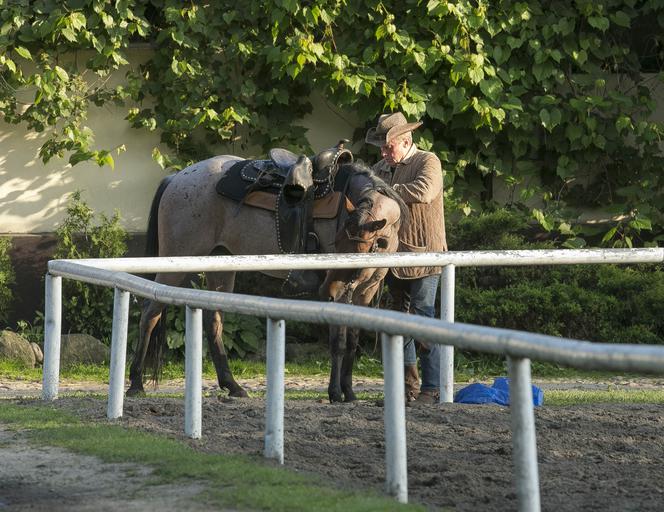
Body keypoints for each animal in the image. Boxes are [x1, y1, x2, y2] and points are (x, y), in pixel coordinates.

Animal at [127, 153, 408, 404]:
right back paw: (136, 383)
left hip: (221, 266)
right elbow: (338, 341)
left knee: (213, 322)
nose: (327, 291)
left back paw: (233, 386)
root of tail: (176, 178)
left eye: (357, 248)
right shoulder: (342, 294)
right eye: (336, 244)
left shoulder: (364, 291)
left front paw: (349, 392)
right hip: (174, 265)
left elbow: (352, 341)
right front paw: (335, 393)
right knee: (150, 313)